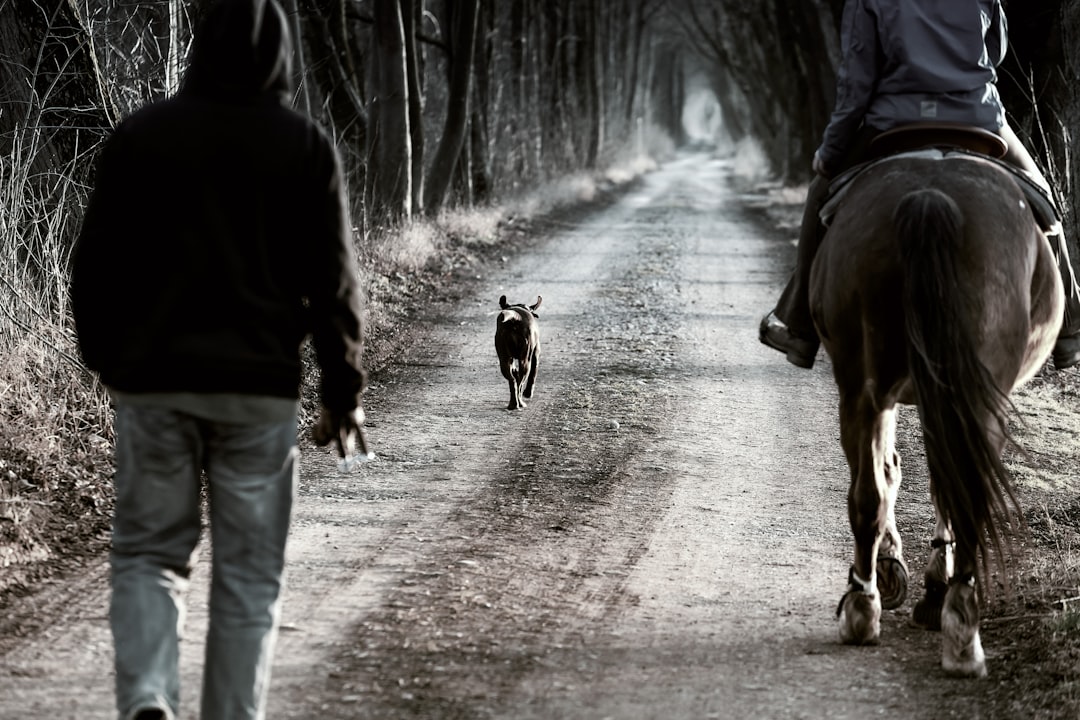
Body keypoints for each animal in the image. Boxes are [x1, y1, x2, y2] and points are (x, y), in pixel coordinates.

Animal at [812, 148, 1062, 677]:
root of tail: (931, 197)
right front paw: (922, 580)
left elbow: (899, 474)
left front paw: (902, 571)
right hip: (969, 394)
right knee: (952, 492)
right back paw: (955, 625)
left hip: (868, 387)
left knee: (873, 493)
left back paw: (871, 606)